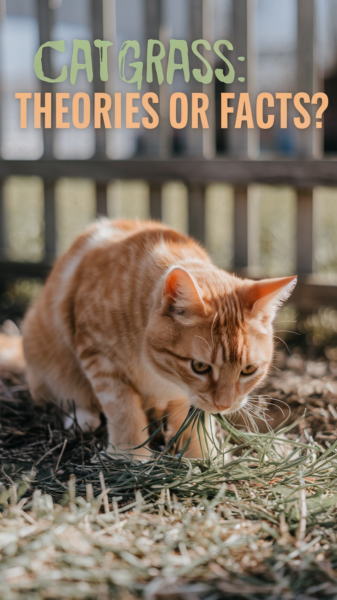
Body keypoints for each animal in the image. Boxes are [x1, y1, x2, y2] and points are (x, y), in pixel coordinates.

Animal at [21, 218, 296, 458]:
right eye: (200, 366)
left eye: (248, 370)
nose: (224, 406)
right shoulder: (99, 358)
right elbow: (123, 409)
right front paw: (130, 456)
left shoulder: (185, 395)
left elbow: (194, 419)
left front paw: (202, 457)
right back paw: (84, 418)